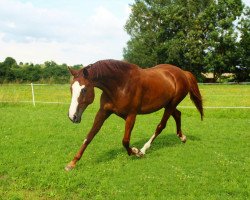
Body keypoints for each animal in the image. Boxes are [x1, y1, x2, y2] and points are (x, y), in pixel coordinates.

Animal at [66, 59, 203, 170]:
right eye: (71, 88)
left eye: (84, 89)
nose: (72, 117)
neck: (120, 85)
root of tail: (183, 73)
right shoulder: (103, 112)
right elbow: (89, 136)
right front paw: (72, 163)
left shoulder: (131, 115)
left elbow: (125, 141)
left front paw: (136, 152)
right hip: (168, 104)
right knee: (178, 115)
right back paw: (182, 137)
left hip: (170, 105)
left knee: (161, 126)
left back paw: (144, 149)